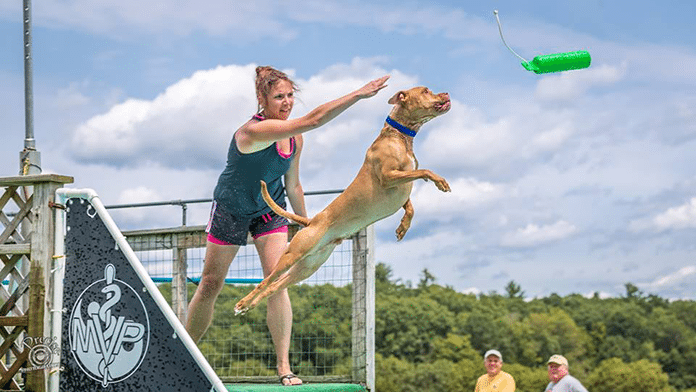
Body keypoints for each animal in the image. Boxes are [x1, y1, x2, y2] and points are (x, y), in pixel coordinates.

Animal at [234, 86, 452, 316]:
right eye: (426, 91)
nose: (446, 93)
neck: (399, 136)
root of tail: (311, 222)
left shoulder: (400, 188)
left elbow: (410, 207)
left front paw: (403, 227)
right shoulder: (388, 176)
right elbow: (424, 171)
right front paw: (439, 180)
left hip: (307, 266)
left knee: (274, 286)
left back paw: (248, 306)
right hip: (292, 254)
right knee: (266, 281)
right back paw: (243, 302)